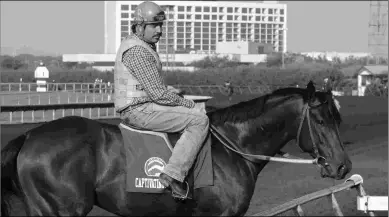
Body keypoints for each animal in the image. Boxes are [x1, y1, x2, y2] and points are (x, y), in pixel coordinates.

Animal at [0, 81, 352, 215]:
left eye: (338, 117)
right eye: (321, 120)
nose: (342, 166)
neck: (233, 147)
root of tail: (29, 137)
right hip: (61, 209)